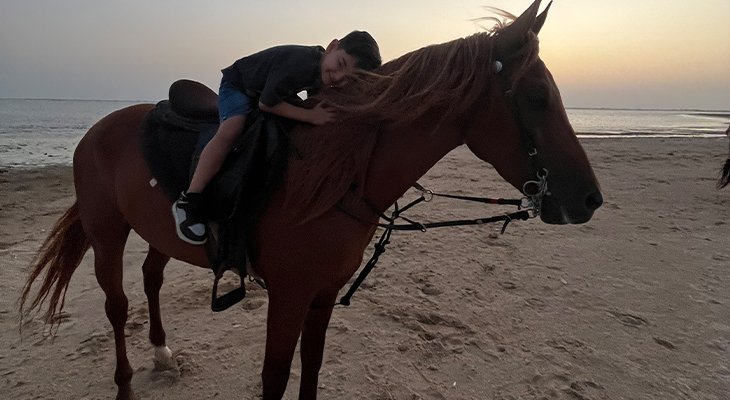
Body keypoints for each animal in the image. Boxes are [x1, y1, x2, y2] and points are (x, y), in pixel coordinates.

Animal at [19, 1, 600, 398]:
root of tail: (100, 128)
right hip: (107, 231)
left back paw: (161, 353)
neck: (331, 180)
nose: (591, 199)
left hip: (155, 230)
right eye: (537, 97)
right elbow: (275, 377)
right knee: (117, 306)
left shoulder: (322, 295)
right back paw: (125, 382)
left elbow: (313, 366)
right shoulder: (290, 296)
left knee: (151, 277)